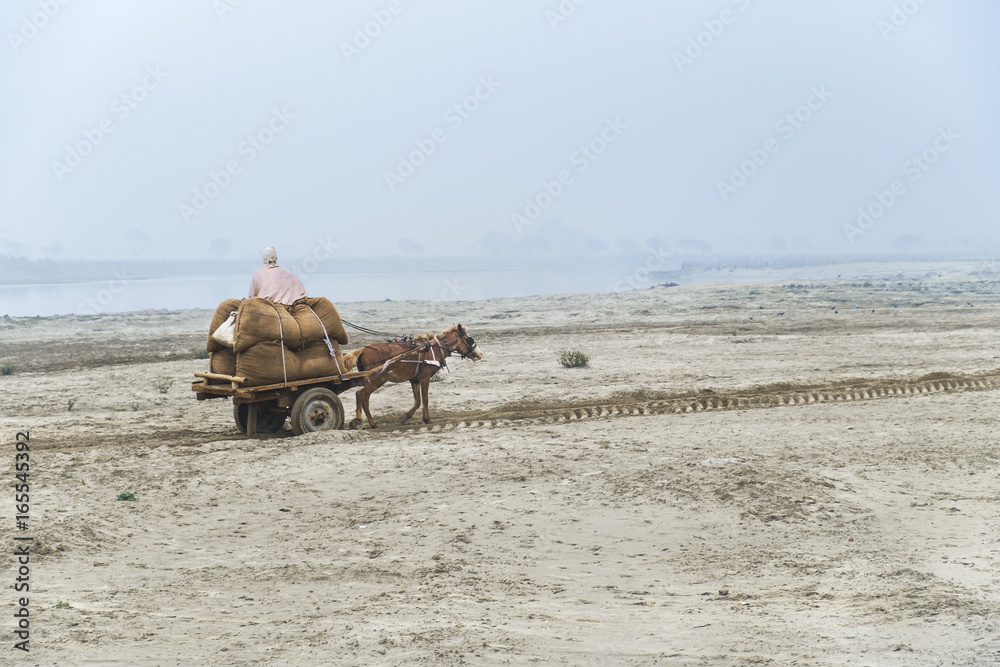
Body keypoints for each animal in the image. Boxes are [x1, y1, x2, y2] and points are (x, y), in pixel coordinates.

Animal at [351, 324, 482, 428]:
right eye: (468, 339)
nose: (480, 354)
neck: (433, 348)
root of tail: (363, 350)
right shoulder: (425, 378)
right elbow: (425, 399)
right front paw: (427, 419)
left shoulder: (414, 380)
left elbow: (418, 401)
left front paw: (405, 417)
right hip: (378, 379)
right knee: (361, 394)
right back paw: (365, 422)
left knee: (364, 397)